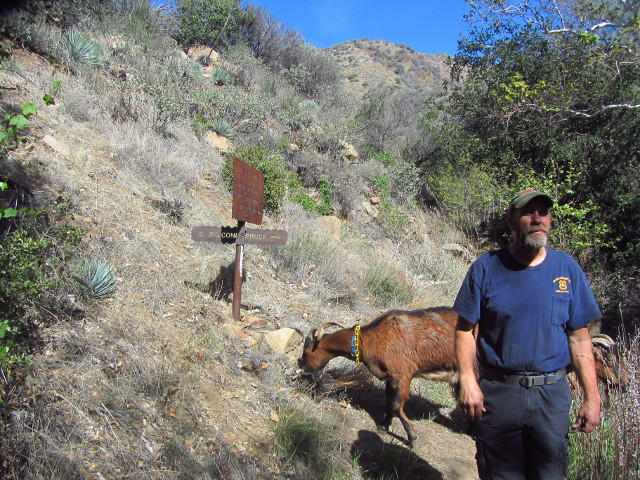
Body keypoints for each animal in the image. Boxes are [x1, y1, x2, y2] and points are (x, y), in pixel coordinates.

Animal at [298, 306, 458, 444]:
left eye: (306, 351)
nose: (301, 365)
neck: (369, 338)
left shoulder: (402, 375)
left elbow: (396, 405)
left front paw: (412, 436)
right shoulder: (389, 377)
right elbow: (388, 401)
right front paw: (384, 425)